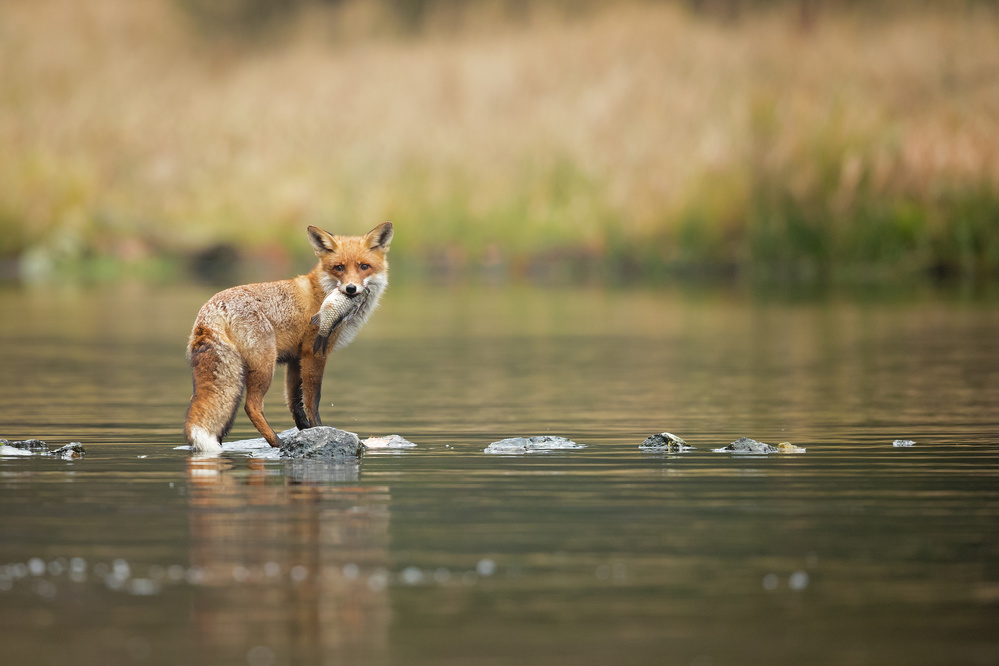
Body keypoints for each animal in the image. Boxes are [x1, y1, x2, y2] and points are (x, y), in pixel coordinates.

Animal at [186, 222, 392, 452]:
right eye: (339, 268)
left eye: (364, 266)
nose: (350, 289)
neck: (322, 290)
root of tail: (210, 310)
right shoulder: (314, 352)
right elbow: (312, 400)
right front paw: (320, 429)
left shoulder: (295, 359)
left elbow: (295, 403)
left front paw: (306, 432)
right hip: (264, 366)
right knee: (251, 407)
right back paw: (276, 442)